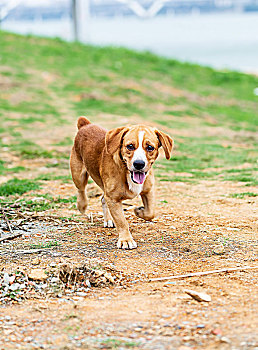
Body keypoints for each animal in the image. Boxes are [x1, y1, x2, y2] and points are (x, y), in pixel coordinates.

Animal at [69, 117, 172, 249]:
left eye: (150, 147)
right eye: (130, 146)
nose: (139, 164)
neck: (126, 172)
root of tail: (86, 125)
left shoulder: (148, 190)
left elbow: (150, 213)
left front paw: (139, 211)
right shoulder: (113, 199)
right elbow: (122, 222)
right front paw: (126, 240)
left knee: (102, 198)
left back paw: (108, 220)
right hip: (78, 175)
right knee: (81, 190)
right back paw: (82, 205)